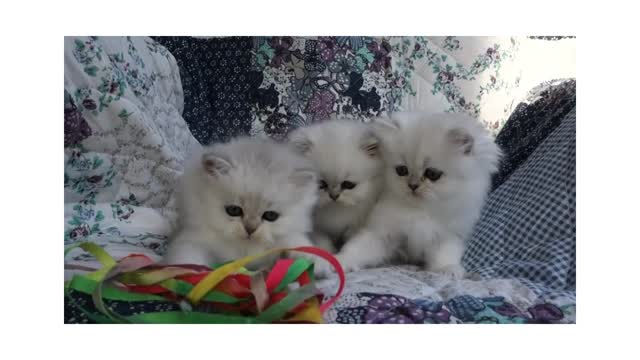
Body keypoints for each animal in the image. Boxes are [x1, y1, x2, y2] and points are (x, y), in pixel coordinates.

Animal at [165, 136, 328, 272]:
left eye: (270, 216)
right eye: (233, 210)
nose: (250, 229)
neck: (245, 250)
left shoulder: (286, 236)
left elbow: (299, 244)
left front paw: (319, 263)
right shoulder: (193, 239)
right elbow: (187, 258)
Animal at [288, 119, 382, 252]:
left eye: (348, 185)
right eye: (321, 184)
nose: (334, 196)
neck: (336, 210)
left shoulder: (355, 225)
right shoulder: (318, 229)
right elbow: (324, 244)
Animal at [338, 112, 502, 278]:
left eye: (432, 174)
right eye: (402, 170)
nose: (413, 185)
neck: (420, 211)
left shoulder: (447, 236)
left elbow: (445, 255)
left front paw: (448, 269)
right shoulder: (382, 234)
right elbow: (358, 249)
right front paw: (339, 261)